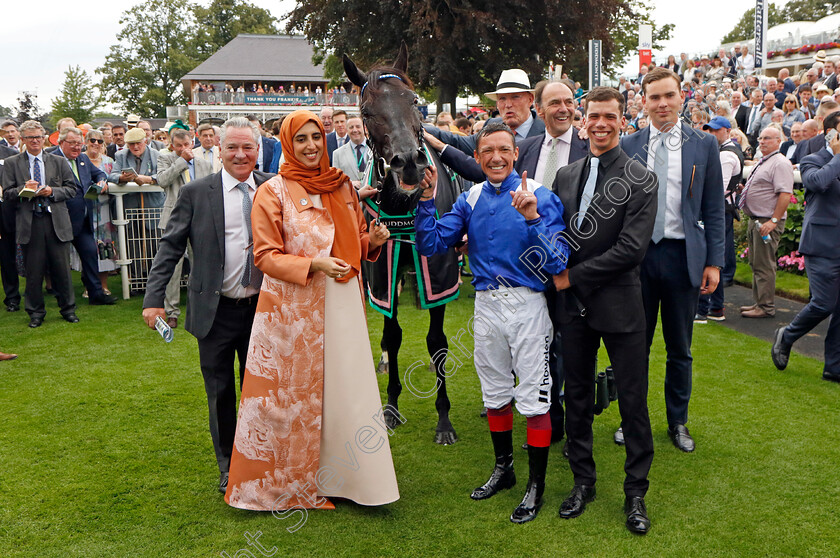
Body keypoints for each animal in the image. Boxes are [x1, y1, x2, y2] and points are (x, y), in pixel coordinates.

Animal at [344, 46, 462, 446]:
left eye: (413, 100)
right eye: (366, 111)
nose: (409, 162)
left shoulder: (439, 273)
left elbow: (437, 341)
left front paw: (444, 419)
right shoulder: (384, 271)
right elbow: (392, 336)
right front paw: (391, 408)